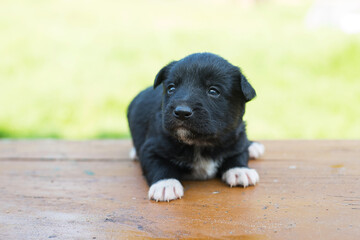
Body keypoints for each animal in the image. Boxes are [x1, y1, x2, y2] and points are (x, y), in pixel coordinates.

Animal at [127, 53, 264, 202]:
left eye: (213, 91)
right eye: (171, 88)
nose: (181, 112)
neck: (199, 143)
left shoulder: (236, 137)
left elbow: (238, 153)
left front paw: (240, 170)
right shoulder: (152, 147)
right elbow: (158, 164)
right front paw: (165, 184)